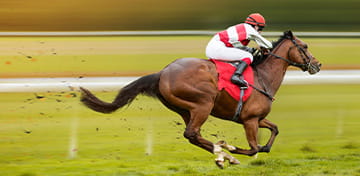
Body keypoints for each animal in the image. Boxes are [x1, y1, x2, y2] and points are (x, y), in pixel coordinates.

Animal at [81, 31, 320, 168]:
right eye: (305, 46)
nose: (317, 65)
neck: (263, 77)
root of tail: (163, 72)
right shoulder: (250, 120)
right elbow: (254, 148)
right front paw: (232, 149)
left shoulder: (256, 118)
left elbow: (273, 132)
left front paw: (235, 151)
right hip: (203, 103)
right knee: (192, 133)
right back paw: (224, 154)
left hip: (185, 109)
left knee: (193, 135)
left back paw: (221, 155)